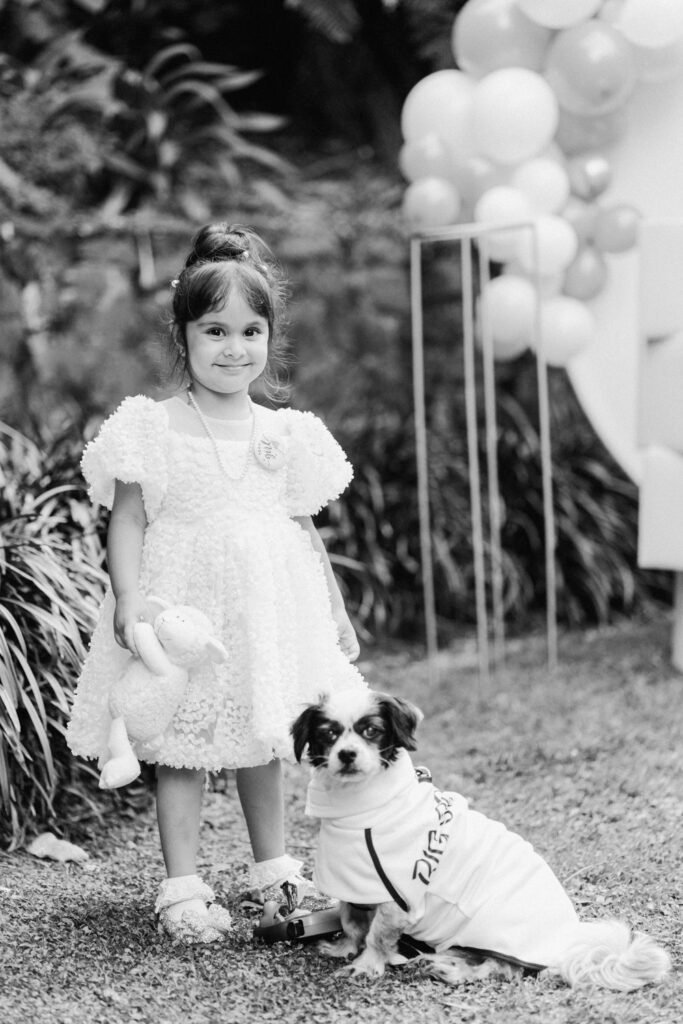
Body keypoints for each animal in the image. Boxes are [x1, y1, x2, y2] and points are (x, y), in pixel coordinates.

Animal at [291, 689, 671, 990]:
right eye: (328, 735)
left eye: (372, 731)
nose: (347, 755)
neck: (360, 813)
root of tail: (564, 942)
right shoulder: (354, 887)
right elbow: (350, 921)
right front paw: (344, 949)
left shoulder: (399, 898)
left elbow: (377, 934)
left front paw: (367, 965)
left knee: (504, 969)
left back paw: (453, 972)